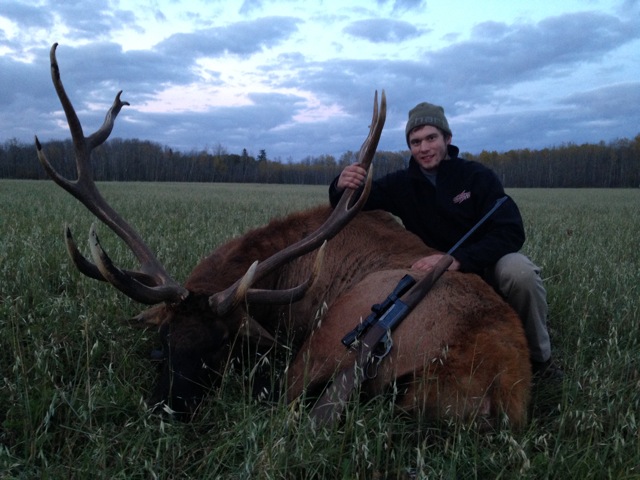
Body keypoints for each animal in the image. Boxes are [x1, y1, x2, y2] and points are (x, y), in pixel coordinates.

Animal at [37, 43, 531, 428]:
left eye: (222, 345)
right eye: (164, 337)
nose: (165, 409)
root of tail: (499, 389)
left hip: (336, 332)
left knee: (286, 399)